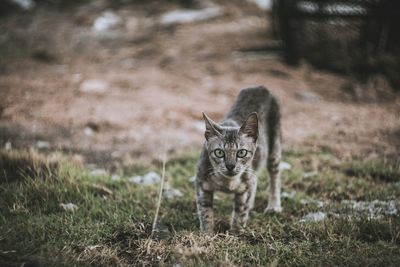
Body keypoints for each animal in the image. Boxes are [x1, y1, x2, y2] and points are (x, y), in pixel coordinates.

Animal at [194, 86, 282, 234]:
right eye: (219, 152)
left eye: (241, 152)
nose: (230, 166)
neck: (227, 183)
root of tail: (260, 87)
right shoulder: (202, 185)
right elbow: (205, 212)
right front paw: (207, 234)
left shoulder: (245, 187)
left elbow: (240, 212)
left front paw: (235, 233)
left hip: (274, 148)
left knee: (275, 176)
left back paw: (274, 206)